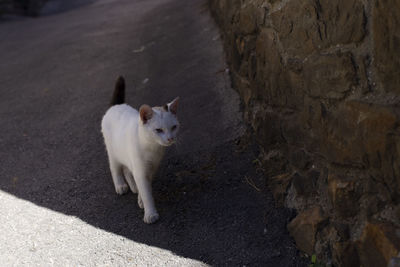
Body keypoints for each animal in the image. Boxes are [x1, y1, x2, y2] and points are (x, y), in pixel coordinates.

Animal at [101, 77, 180, 224]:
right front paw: (150, 214)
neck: (152, 148)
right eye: (158, 130)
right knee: (115, 169)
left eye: (174, 127)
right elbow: (146, 192)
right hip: (113, 153)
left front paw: (141, 200)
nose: (170, 139)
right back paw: (121, 185)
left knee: (127, 170)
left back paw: (133, 187)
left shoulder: (151, 168)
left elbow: (145, 188)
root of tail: (116, 106)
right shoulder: (140, 170)